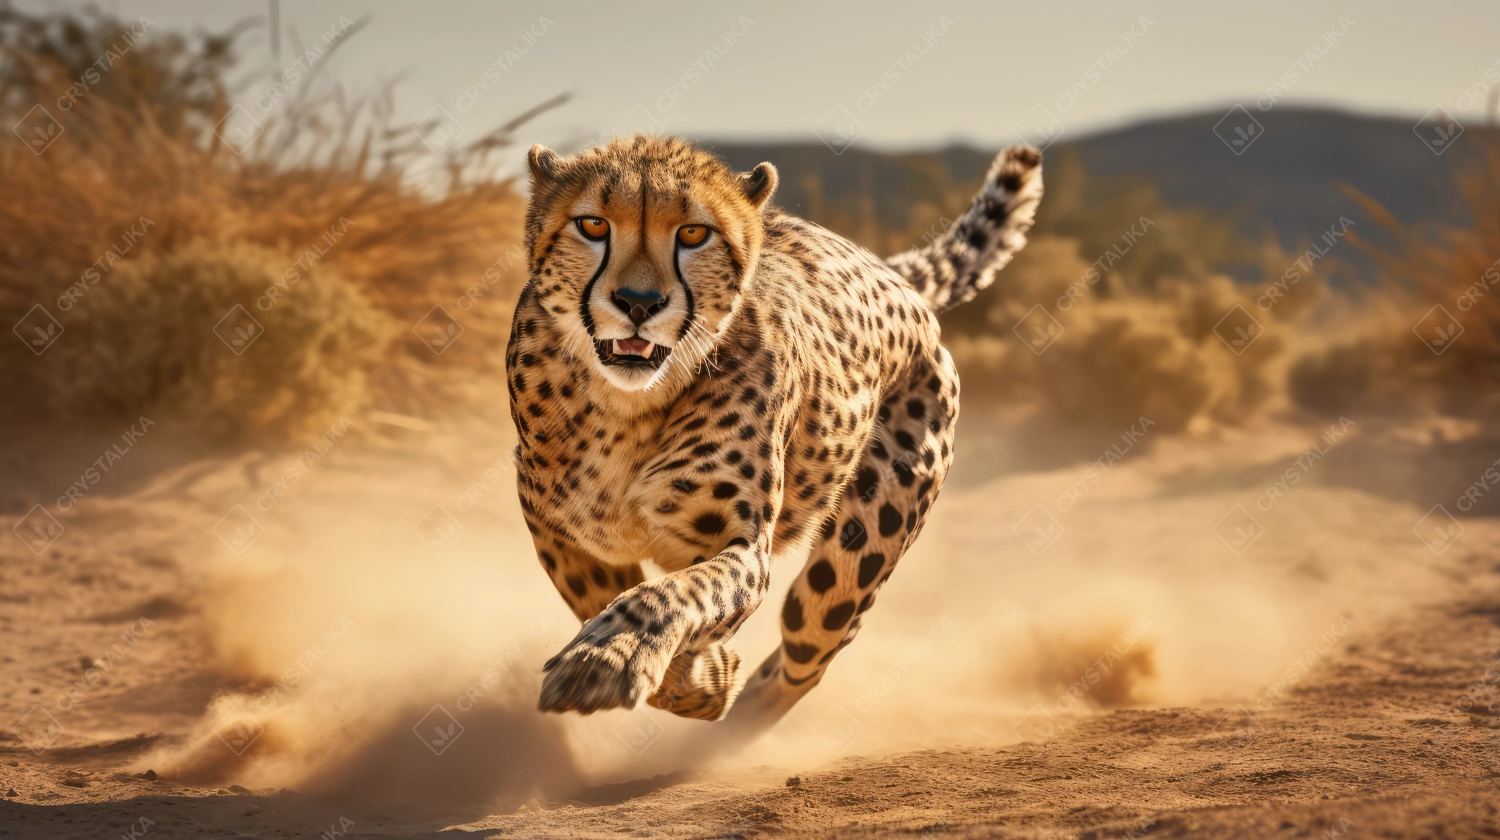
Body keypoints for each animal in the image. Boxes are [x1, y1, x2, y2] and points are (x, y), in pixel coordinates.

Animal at [507, 134, 1044, 732]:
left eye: (693, 233)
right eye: (593, 225)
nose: (638, 303)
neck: (631, 405)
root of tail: (889, 273)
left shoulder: (743, 545)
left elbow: (672, 595)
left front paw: (619, 661)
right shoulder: (558, 531)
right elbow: (608, 592)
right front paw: (691, 675)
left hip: (850, 564)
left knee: (804, 657)